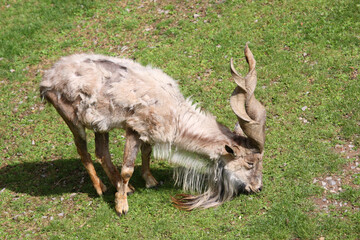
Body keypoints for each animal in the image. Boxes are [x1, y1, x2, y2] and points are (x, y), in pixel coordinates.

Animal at [39, 44, 266, 217]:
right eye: (250, 162)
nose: (258, 187)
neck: (175, 113)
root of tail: (47, 79)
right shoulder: (133, 128)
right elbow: (128, 168)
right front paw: (121, 206)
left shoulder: (146, 132)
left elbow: (146, 153)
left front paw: (150, 181)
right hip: (71, 118)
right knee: (83, 150)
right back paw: (101, 188)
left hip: (100, 124)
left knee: (101, 152)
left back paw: (123, 187)